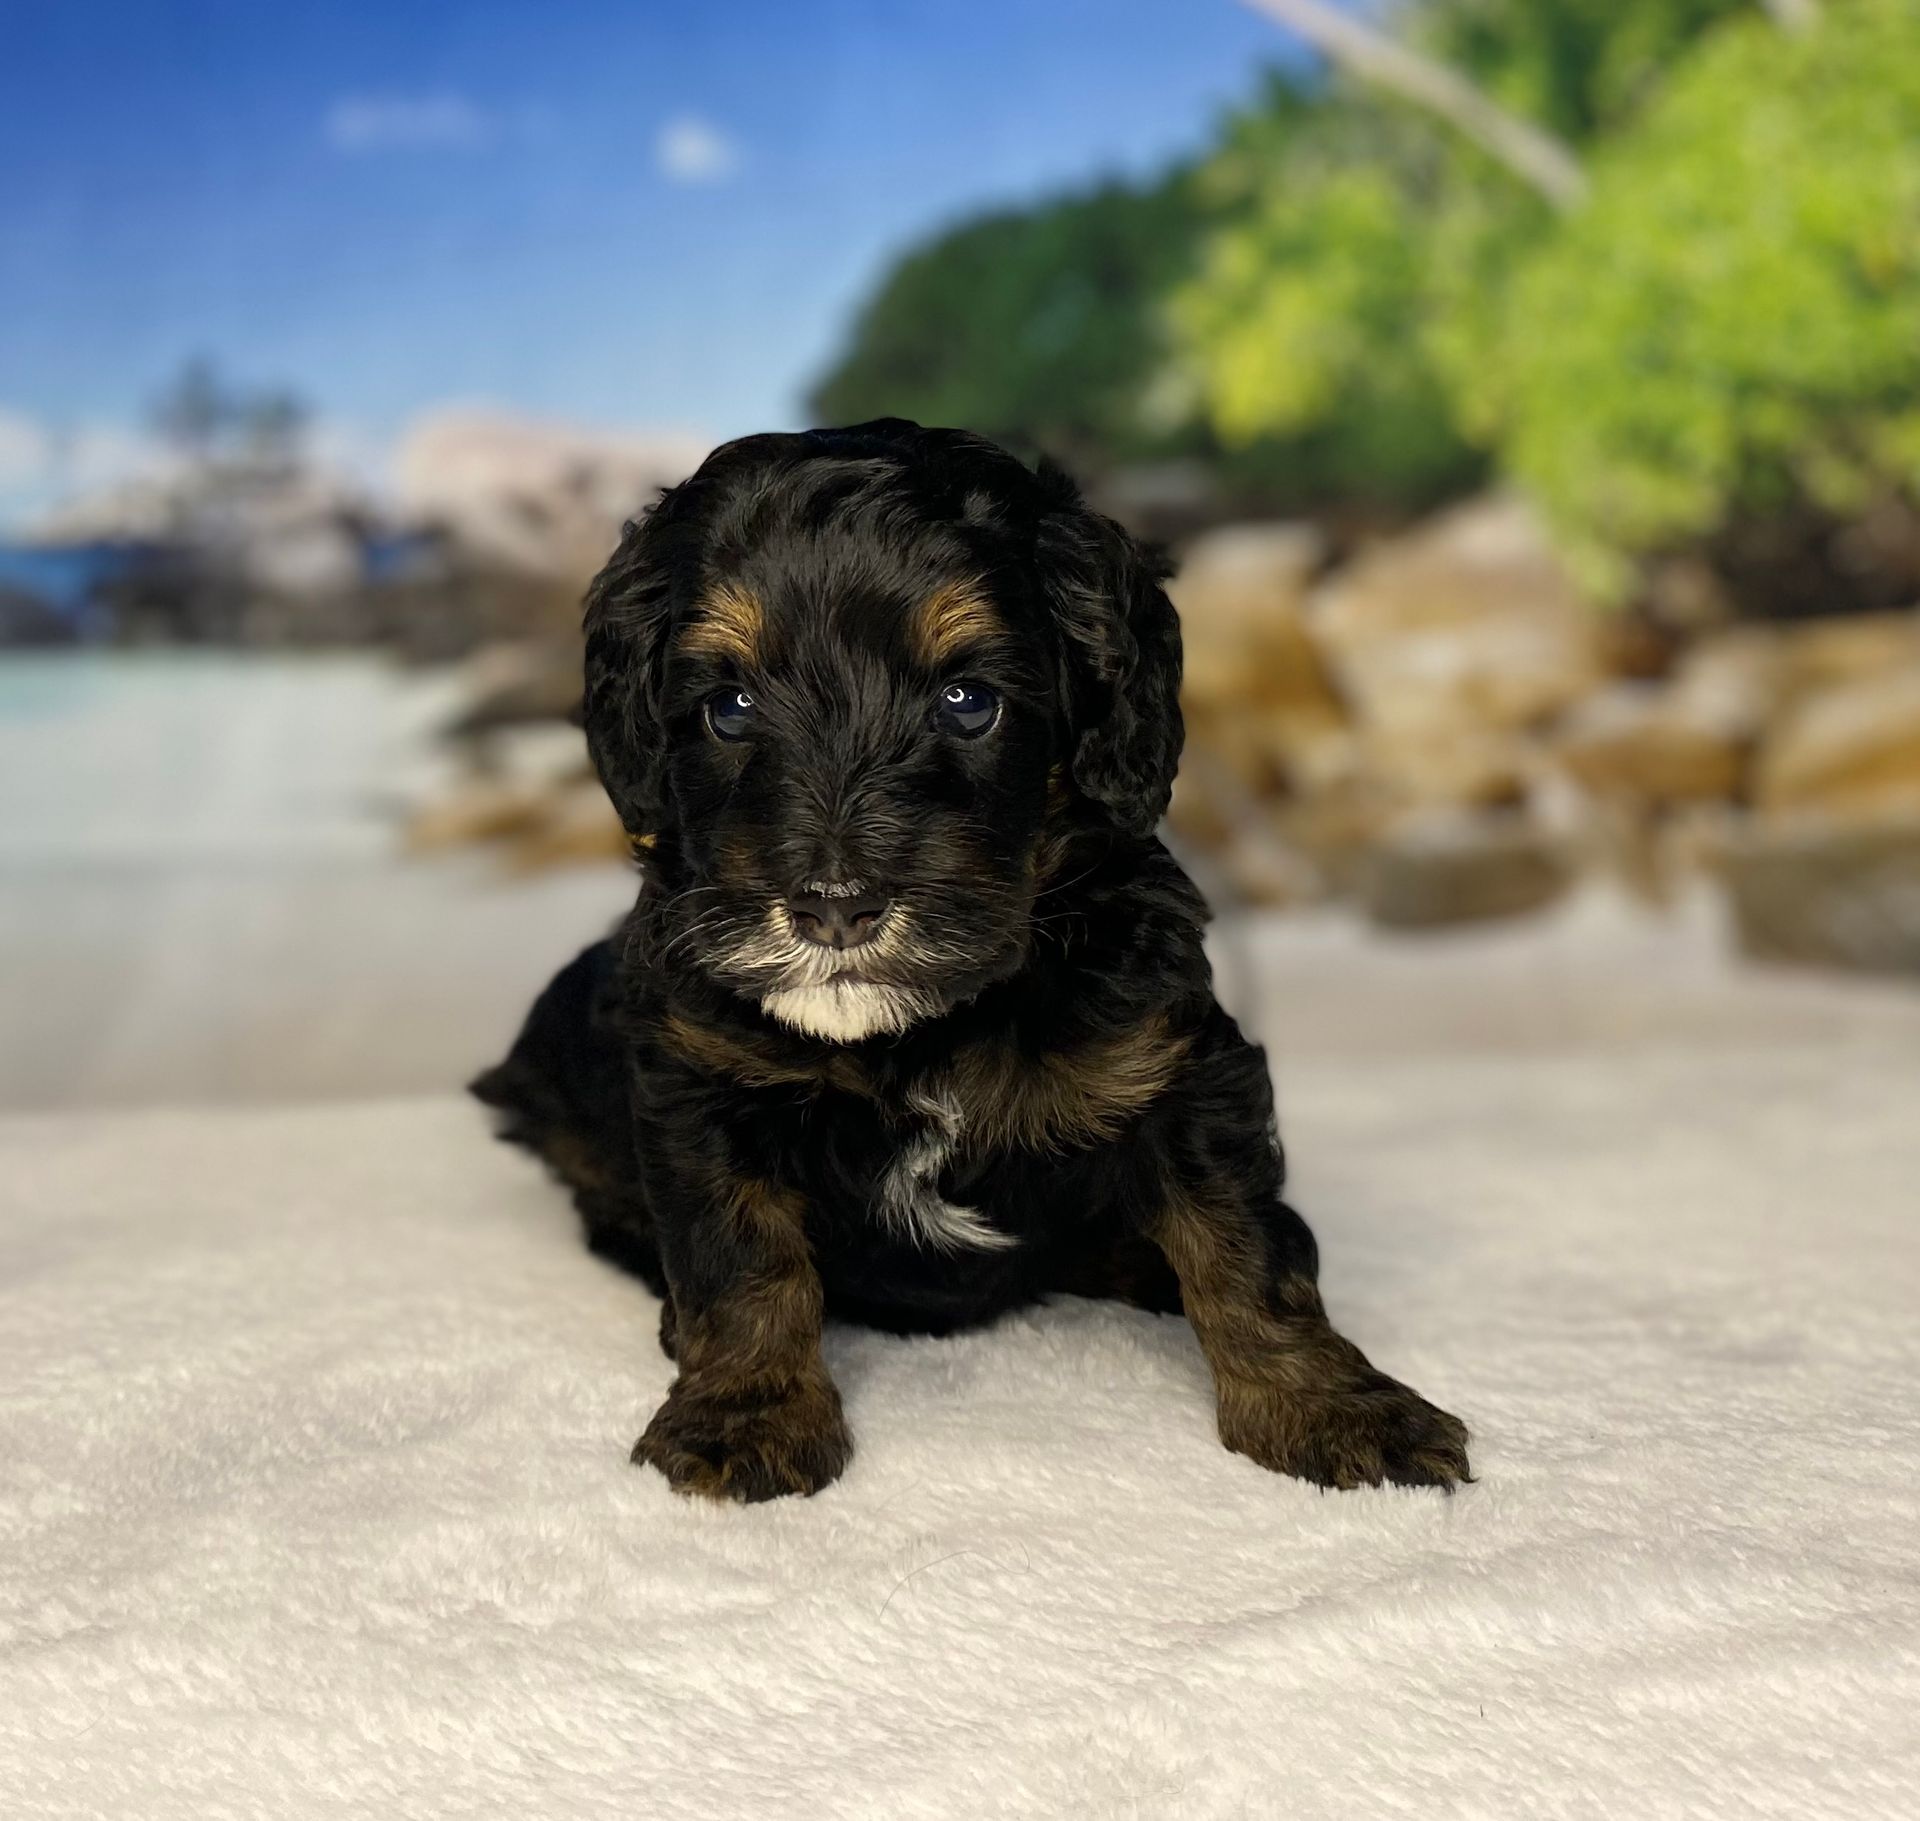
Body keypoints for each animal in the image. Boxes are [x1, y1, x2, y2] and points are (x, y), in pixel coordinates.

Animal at [476, 418, 1466, 1498]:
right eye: (728, 708)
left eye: (967, 699)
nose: (835, 908)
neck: (922, 1031)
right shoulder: (701, 1078)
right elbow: (739, 1257)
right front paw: (747, 1414)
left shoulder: (1173, 1056)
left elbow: (1243, 1241)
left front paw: (1329, 1409)